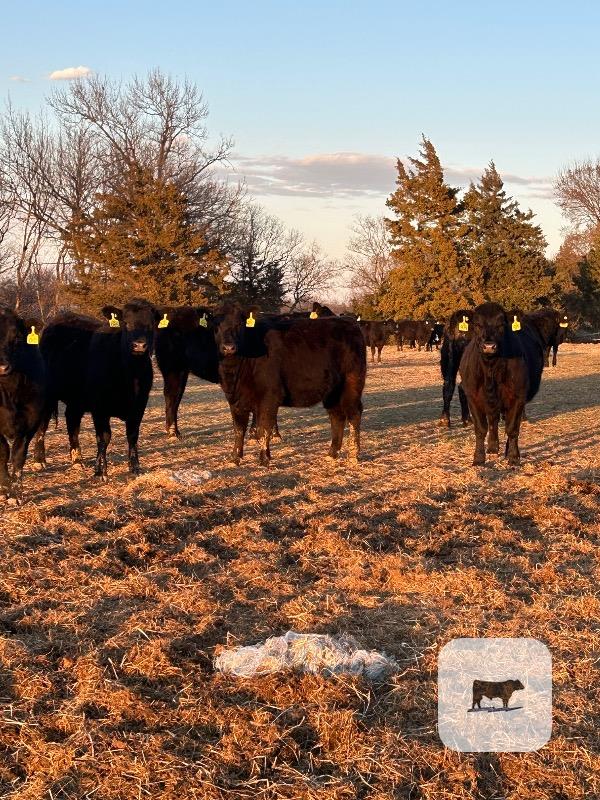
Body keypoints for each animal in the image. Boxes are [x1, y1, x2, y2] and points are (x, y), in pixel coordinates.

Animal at [32, 299, 159, 479]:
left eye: (150, 325)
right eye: (126, 323)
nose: (139, 345)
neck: (130, 375)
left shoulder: (139, 404)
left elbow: (133, 435)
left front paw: (135, 467)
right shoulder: (100, 407)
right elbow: (104, 437)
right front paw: (100, 471)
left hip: (76, 399)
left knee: (72, 422)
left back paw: (77, 461)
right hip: (48, 394)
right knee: (43, 423)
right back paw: (39, 460)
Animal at [213, 303, 366, 466]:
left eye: (239, 325)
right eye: (216, 325)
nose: (228, 347)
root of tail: (348, 322)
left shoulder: (269, 396)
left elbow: (264, 428)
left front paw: (264, 458)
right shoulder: (234, 399)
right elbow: (238, 429)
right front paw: (235, 458)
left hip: (352, 384)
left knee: (354, 414)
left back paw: (353, 455)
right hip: (332, 391)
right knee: (337, 416)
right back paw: (332, 453)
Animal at [459, 302, 545, 466]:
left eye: (501, 325)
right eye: (477, 324)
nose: (489, 346)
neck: (491, 369)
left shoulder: (518, 397)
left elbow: (512, 429)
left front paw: (513, 457)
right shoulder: (473, 397)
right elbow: (480, 429)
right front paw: (478, 458)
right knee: (493, 421)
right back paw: (492, 447)